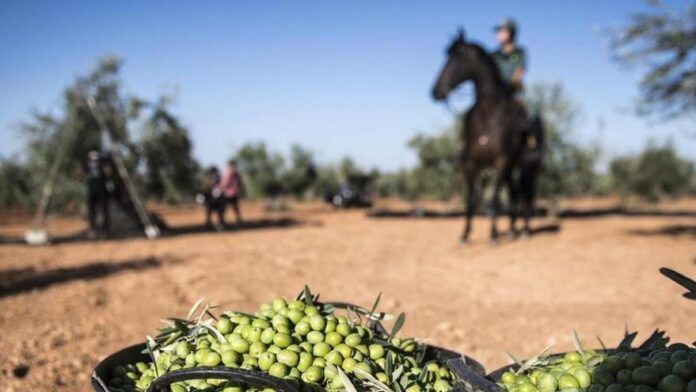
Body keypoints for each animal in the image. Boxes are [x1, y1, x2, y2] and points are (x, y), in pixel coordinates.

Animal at [430, 29, 544, 242]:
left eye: (457, 57)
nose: (436, 91)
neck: (487, 115)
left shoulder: (500, 161)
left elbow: (492, 198)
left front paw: (492, 235)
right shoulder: (472, 164)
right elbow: (471, 199)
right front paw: (465, 235)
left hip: (528, 166)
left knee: (527, 195)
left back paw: (524, 230)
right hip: (512, 168)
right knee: (515, 194)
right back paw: (512, 230)